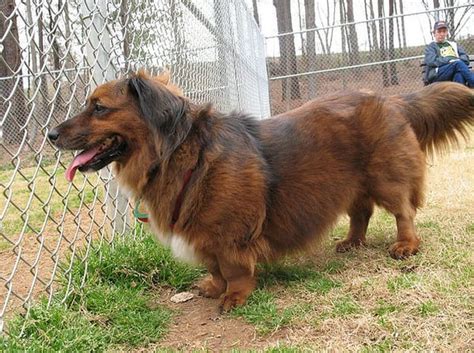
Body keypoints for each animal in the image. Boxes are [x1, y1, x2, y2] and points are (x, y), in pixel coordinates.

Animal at [49, 71, 474, 308]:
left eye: (99, 108)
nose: (50, 134)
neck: (182, 154)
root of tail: (392, 98)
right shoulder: (204, 232)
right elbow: (215, 268)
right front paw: (214, 287)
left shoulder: (229, 232)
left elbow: (233, 269)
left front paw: (235, 296)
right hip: (348, 184)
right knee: (361, 213)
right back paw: (352, 242)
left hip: (386, 178)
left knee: (403, 211)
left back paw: (405, 245)